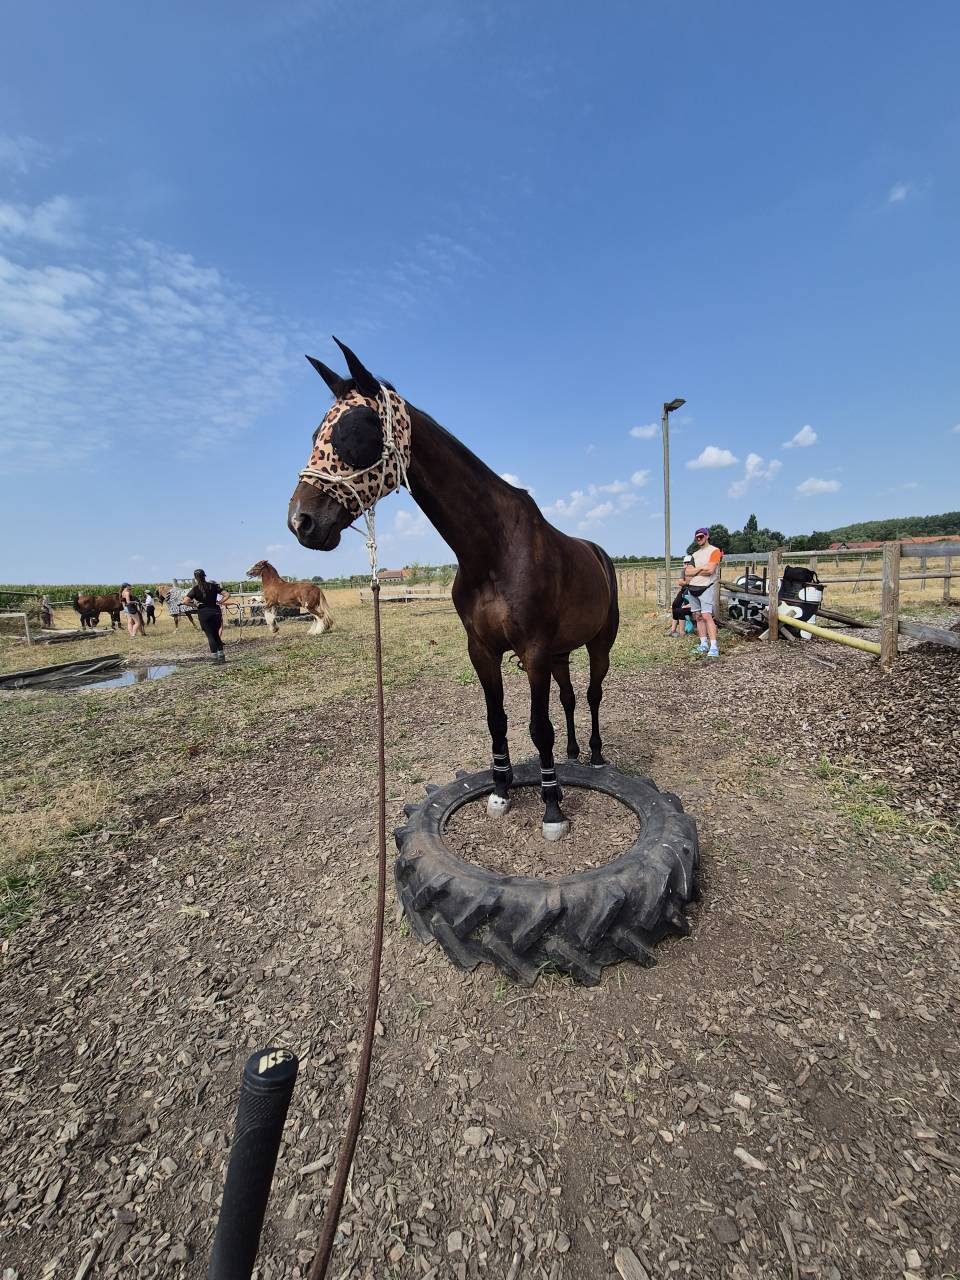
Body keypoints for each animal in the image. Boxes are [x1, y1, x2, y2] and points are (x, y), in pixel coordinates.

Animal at [287, 339, 619, 841]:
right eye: (314, 434)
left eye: (356, 430)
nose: (301, 522)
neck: (493, 550)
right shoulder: (482, 650)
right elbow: (497, 718)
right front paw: (501, 791)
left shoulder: (534, 651)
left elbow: (538, 727)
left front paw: (552, 808)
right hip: (562, 653)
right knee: (569, 697)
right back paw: (575, 753)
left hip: (598, 644)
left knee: (594, 693)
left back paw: (596, 756)